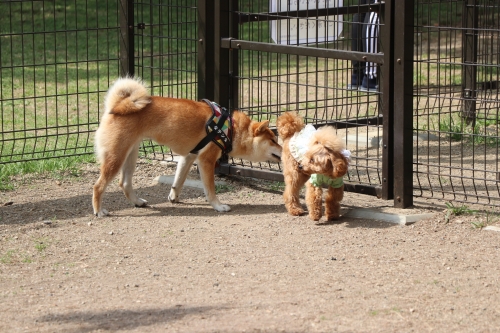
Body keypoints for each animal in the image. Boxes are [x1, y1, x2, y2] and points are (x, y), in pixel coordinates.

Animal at [93, 77, 282, 217]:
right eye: (273, 140)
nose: (284, 148)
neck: (231, 129)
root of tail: (116, 105)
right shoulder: (206, 161)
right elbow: (210, 189)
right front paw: (218, 206)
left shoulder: (188, 156)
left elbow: (179, 180)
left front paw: (173, 196)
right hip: (116, 156)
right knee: (98, 186)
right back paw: (99, 211)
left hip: (130, 154)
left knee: (124, 183)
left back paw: (137, 202)